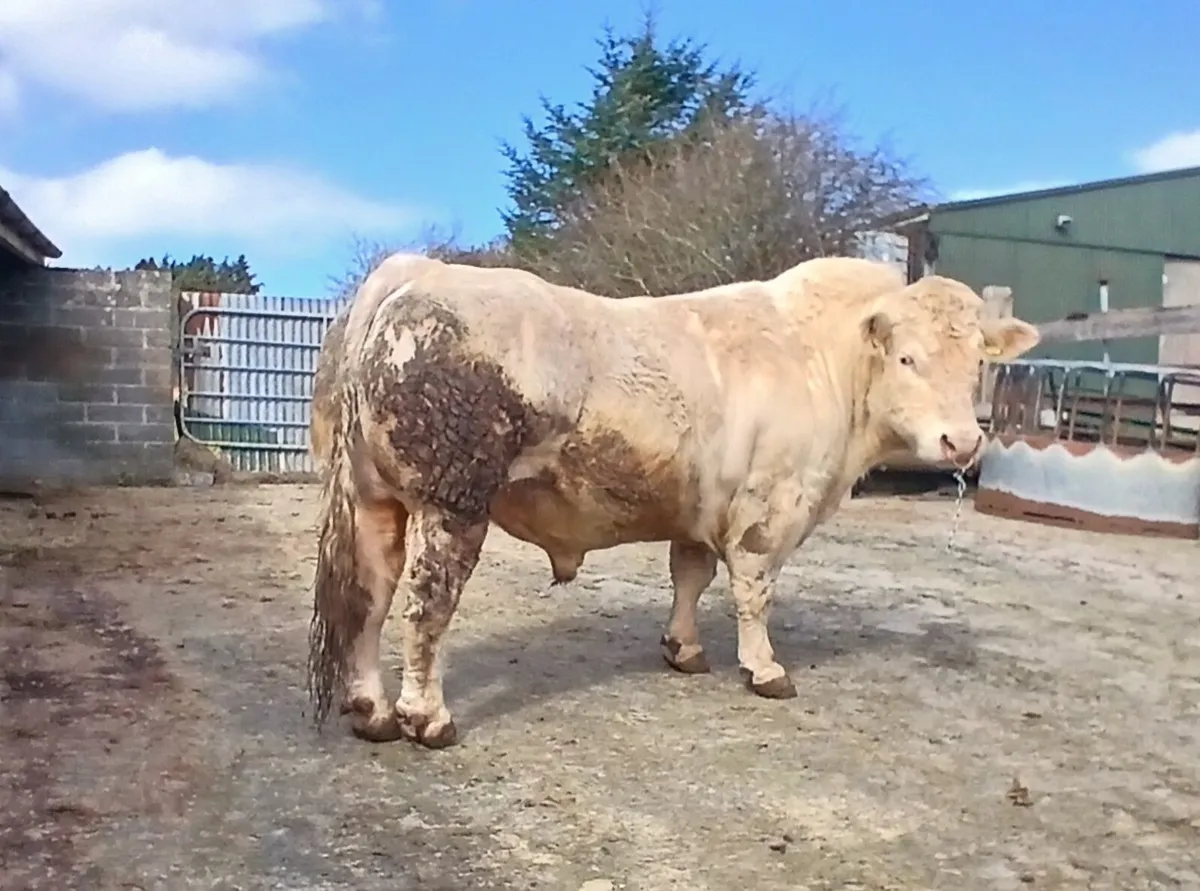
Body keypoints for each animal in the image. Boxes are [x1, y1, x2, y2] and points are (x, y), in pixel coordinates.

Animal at [305, 252, 1040, 749]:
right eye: (908, 358)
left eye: (979, 361)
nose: (962, 440)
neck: (821, 360)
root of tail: (416, 270)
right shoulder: (769, 507)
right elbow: (753, 589)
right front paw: (765, 668)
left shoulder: (702, 503)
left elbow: (690, 572)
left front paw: (683, 648)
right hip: (450, 504)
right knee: (424, 608)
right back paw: (427, 718)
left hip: (374, 500)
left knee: (368, 600)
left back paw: (372, 710)